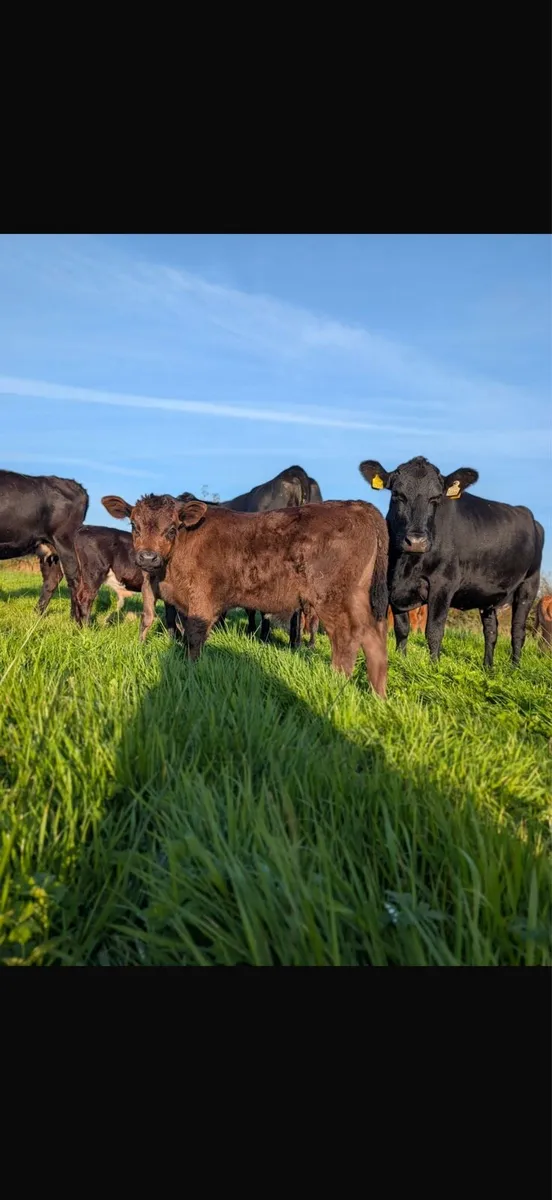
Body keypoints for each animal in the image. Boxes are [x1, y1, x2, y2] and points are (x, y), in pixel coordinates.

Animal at [0, 470, 88, 622]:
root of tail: (73, 483)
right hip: (46, 545)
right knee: (53, 577)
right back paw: (36, 614)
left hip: (64, 540)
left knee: (74, 578)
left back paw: (75, 620)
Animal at [35, 526, 179, 636]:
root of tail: (85, 528)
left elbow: (171, 616)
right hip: (94, 573)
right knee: (85, 599)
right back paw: (87, 631)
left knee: (75, 595)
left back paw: (77, 625)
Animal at [101, 493, 389, 696]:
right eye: (134, 525)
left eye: (172, 528)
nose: (147, 557)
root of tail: (358, 505)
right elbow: (171, 630)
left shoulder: (202, 597)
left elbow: (194, 636)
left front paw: (192, 672)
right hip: (357, 596)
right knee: (373, 638)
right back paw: (378, 696)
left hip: (331, 596)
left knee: (346, 636)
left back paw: (337, 683)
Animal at [359, 455, 544, 668]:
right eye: (397, 495)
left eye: (436, 498)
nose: (416, 541)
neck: (406, 566)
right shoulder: (394, 586)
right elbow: (401, 629)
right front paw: (401, 660)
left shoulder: (443, 584)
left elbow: (434, 630)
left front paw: (434, 667)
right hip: (488, 596)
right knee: (491, 632)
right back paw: (487, 668)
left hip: (529, 584)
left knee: (518, 631)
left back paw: (514, 668)